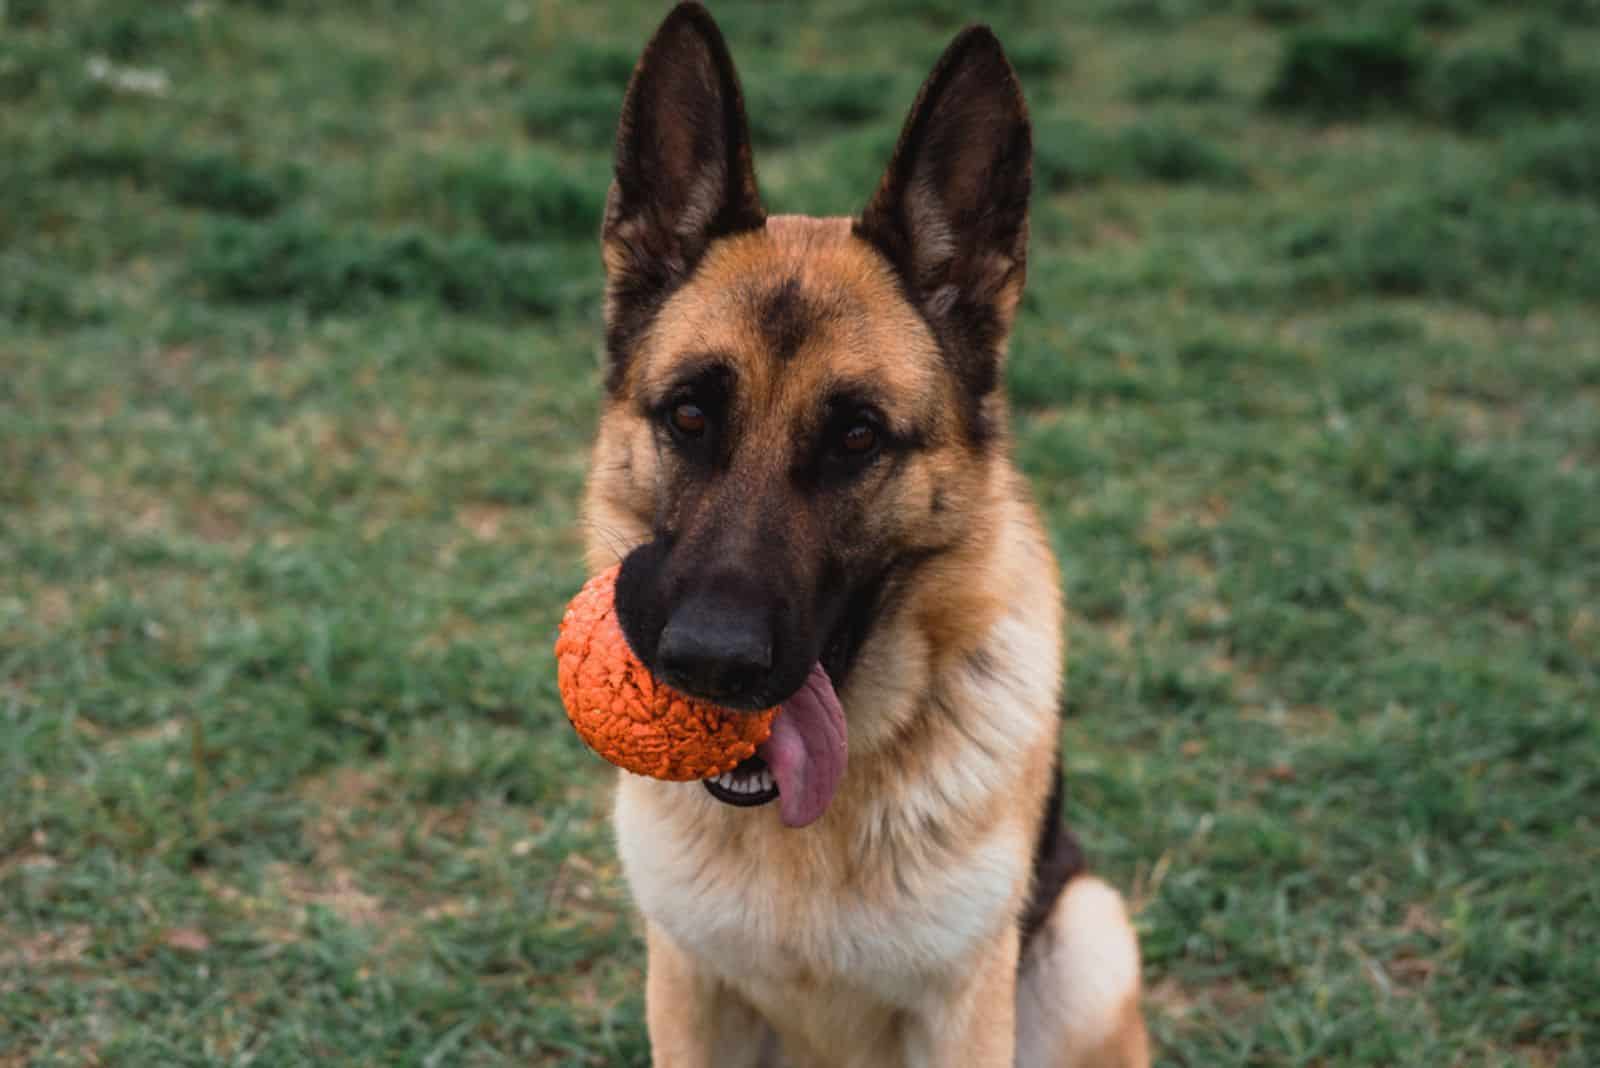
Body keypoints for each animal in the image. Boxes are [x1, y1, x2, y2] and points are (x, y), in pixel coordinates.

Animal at [585, 4, 1152, 1061]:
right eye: (689, 416)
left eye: (856, 436)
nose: (711, 661)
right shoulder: (685, 988)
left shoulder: (965, 1009)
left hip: (1091, 941)